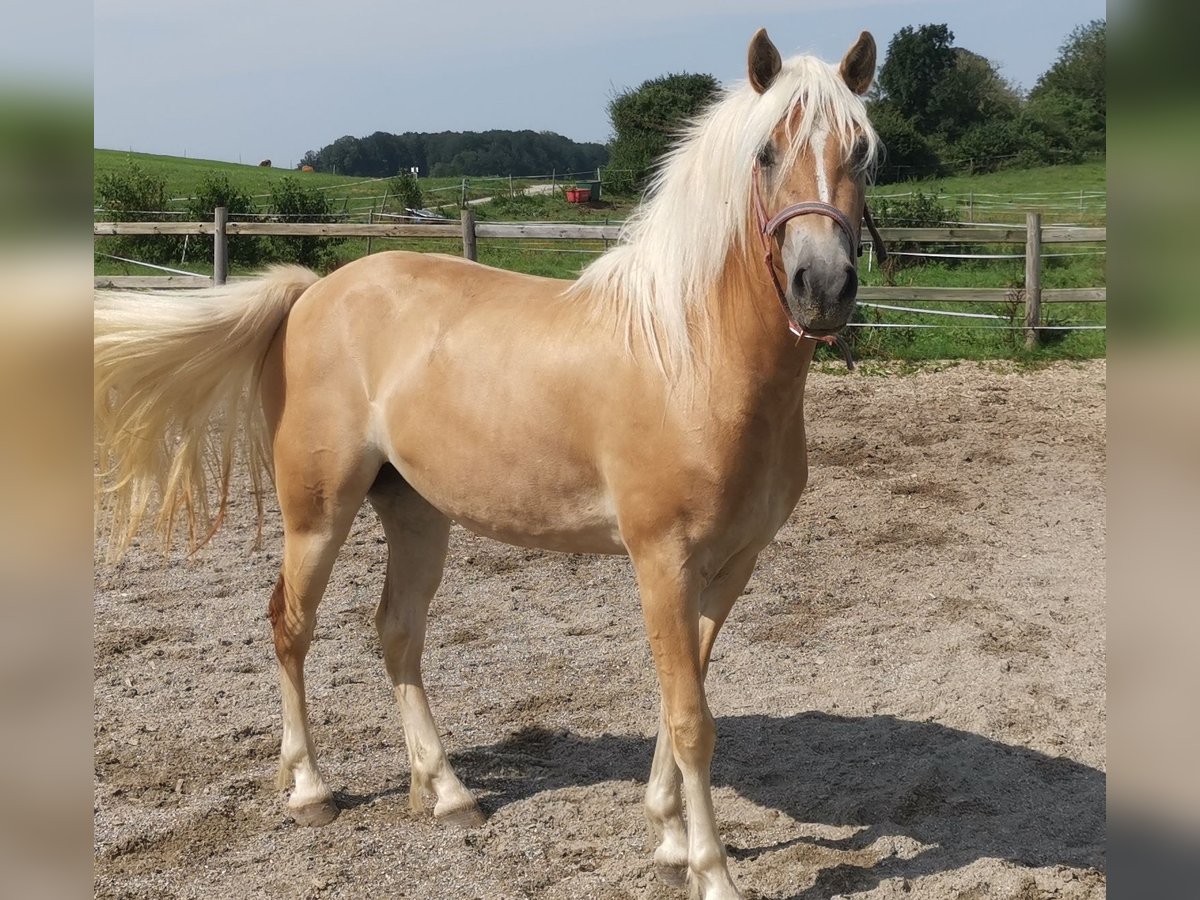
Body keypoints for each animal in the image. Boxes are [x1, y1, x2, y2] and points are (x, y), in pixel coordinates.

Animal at [93, 30, 883, 900]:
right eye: (765, 152)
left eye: (862, 153)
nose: (822, 289)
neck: (690, 354)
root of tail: (311, 294)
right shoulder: (662, 561)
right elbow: (689, 720)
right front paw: (709, 869)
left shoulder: (731, 563)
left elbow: (679, 698)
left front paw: (669, 835)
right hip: (318, 512)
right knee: (290, 626)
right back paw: (309, 789)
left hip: (415, 512)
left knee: (397, 634)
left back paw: (445, 792)